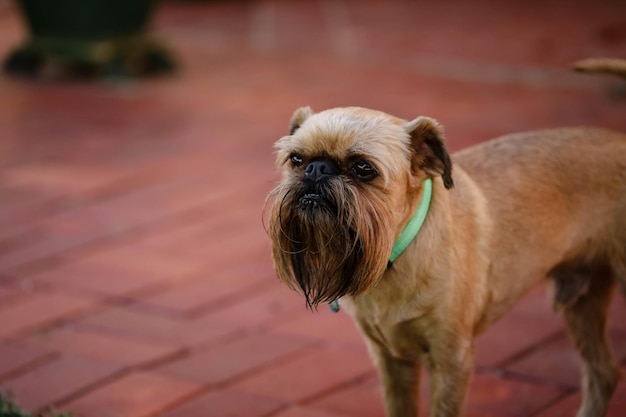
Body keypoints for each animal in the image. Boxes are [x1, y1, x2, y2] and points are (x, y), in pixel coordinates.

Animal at [264, 106, 624, 416]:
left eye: (363, 168)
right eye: (296, 159)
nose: (316, 169)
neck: (397, 254)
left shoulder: (451, 362)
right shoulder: (391, 363)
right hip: (583, 305)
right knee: (603, 372)